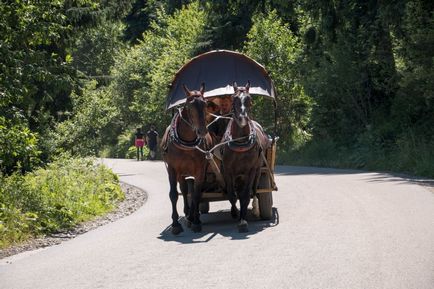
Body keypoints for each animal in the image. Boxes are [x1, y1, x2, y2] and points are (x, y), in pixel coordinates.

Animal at [160, 83, 213, 234]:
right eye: (189, 106)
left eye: (205, 104)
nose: (202, 131)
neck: (186, 143)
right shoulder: (172, 169)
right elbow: (174, 194)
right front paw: (175, 224)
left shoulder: (200, 170)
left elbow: (196, 194)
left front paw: (196, 221)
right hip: (180, 173)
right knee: (183, 190)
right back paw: (187, 213)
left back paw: (192, 216)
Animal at [222, 81, 270, 232]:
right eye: (234, 98)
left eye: (249, 99)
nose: (242, 118)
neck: (241, 142)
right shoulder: (228, 171)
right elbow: (232, 195)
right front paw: (236, 213)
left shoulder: (250, 171)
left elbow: (245, 196)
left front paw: (243, 221)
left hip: (258, 170)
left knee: (253, 190)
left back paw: (255, 209)